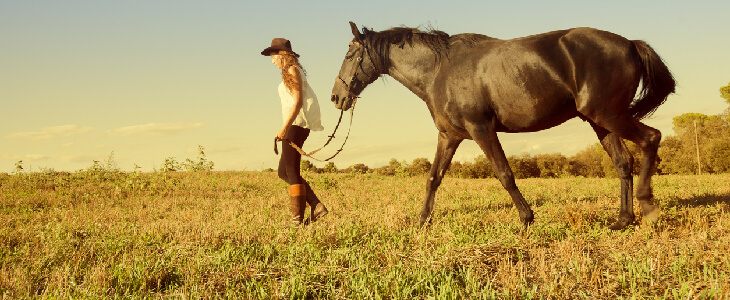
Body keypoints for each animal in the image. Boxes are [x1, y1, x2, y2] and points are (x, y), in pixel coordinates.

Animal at [332, 22, 672, 230]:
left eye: (350, 53)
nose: (337, 97)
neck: (440, 70)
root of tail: (629, 44)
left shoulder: (481, 129)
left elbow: (504, 173)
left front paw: (526, 218)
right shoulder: (449, 136)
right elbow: (433, 178)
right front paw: (421, 222)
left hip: (608, 115)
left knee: (651, 139)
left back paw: (648, 207)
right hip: (600, 121)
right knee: (623, 162)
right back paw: (623, 219)